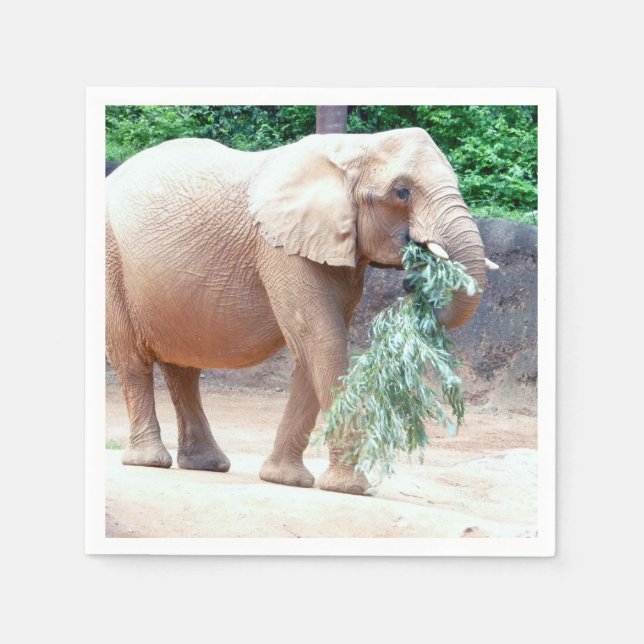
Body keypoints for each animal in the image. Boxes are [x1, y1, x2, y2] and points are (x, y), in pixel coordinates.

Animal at [106, 127, 491, 495]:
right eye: (401, 192)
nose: (416, 282)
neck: (352, 149)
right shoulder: (281, 248)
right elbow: (320, 340)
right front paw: (350, 488)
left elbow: (313, 351)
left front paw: (284, 480)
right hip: (112, 260)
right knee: (132, 361)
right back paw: (149, 460)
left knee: (182, 370)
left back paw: (207, 464)